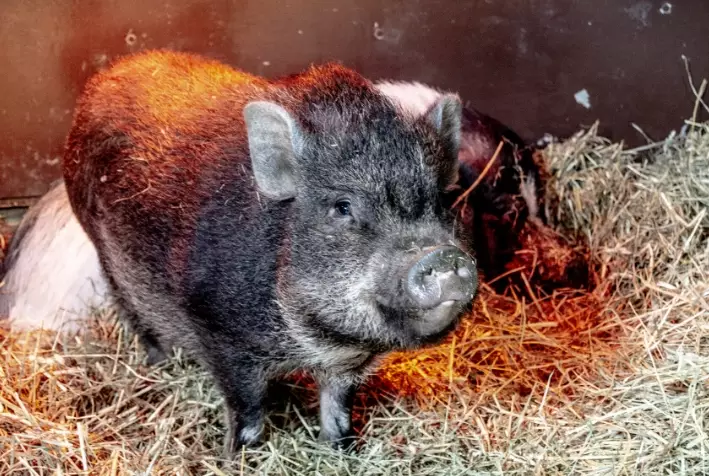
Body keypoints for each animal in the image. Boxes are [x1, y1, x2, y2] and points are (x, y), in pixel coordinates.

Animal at [60, 50, 478, 453]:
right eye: (343, 207)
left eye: (443, 200)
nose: (444, 255)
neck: (317, 344)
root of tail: (102, 78)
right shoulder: (221, 336)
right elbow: (248, 413)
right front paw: (237, 458)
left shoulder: (348, 366)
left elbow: (338, 409)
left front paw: (343, 450)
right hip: (107, 259)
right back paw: (159, 367)